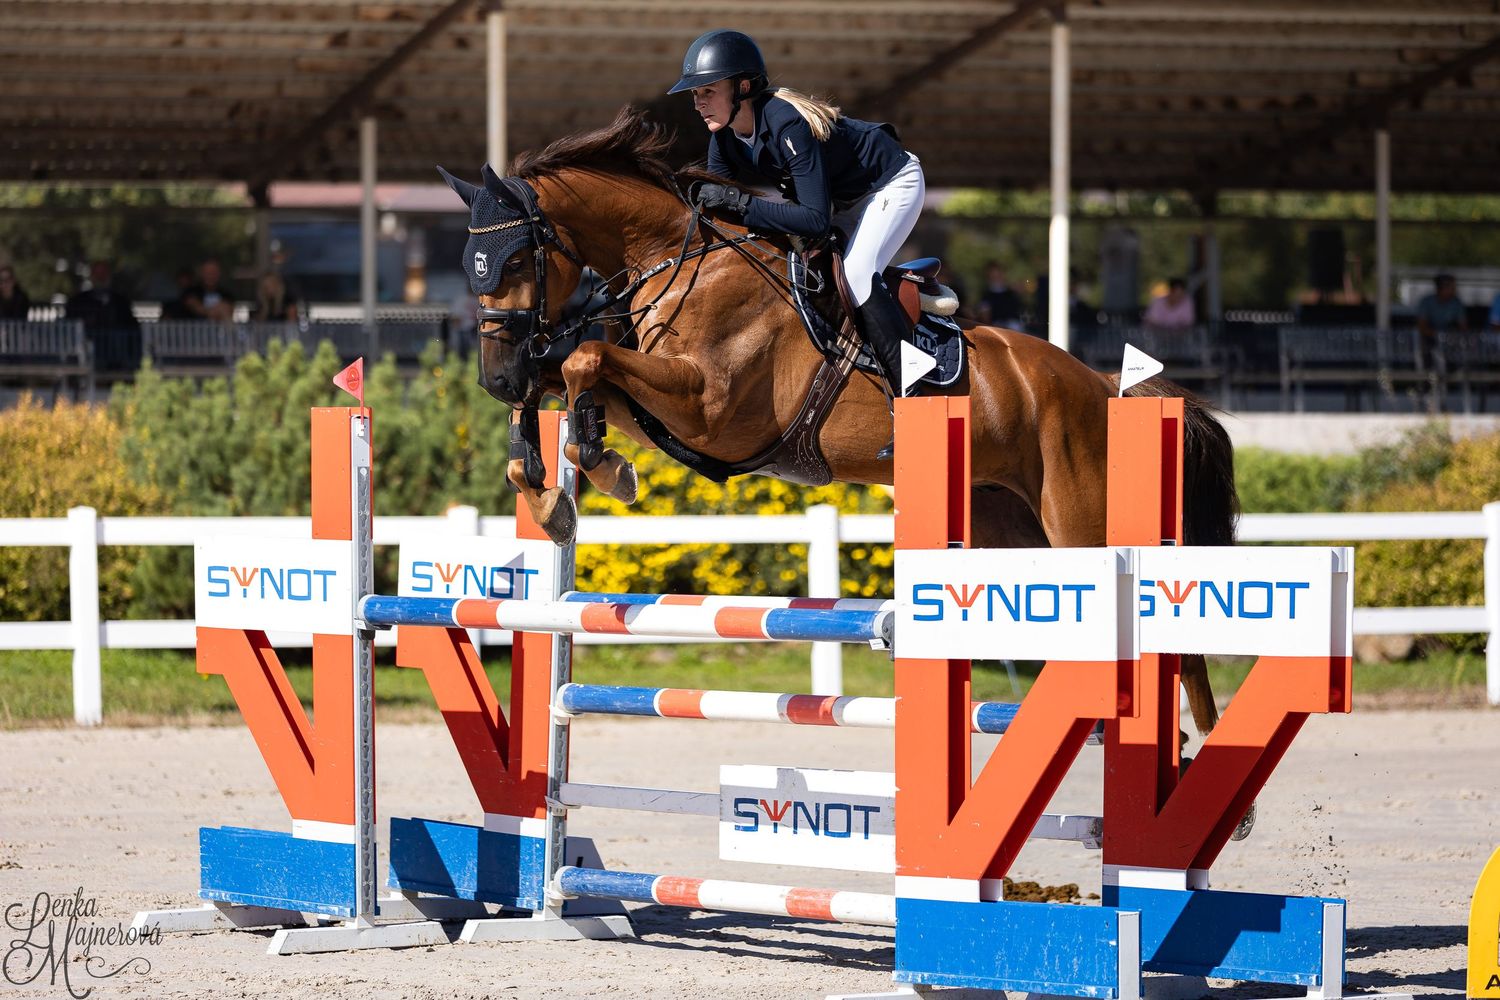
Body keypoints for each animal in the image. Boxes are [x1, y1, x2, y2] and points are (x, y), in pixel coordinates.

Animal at [438, 106, 1240, 746]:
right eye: (468, 262)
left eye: (516, 258)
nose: (493, 376)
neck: (678, 256)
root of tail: (1103, 384)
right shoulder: (667, 403)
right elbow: (570, 373)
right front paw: (558, 483)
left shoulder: (712, 410)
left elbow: (585, 359)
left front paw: (592, 465)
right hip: (1010, 525)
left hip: (1081, 520)